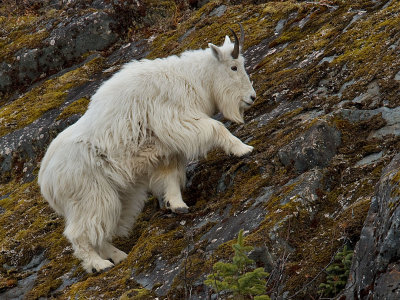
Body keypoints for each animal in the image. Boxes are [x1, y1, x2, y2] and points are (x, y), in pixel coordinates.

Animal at [38, 25, 256, 274]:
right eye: (234, 66)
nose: (252, 97)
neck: (193, 80)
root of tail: (45, 180)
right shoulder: (178, 121)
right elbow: (216, 127)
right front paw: (243, 149)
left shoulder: (165, 151)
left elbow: (170, 177)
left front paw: (178, 206)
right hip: (91, 197)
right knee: (80, 234)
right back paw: (99, 264)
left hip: (116, 197)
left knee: (100, 234)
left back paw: (119, 256)